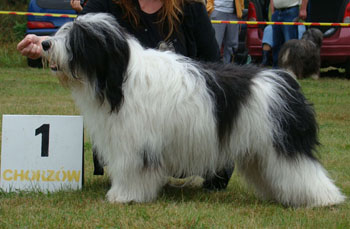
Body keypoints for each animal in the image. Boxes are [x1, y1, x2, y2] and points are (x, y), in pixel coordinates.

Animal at [41, 13, 344, 208]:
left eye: (77, 37)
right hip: (260, 152)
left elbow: (132, 171)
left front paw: (124, 196)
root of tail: (285, 79)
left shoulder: (135, 143)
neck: (121, 78)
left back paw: (326, 200)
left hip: (283, 144)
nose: (44, 43)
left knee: (305, 171)